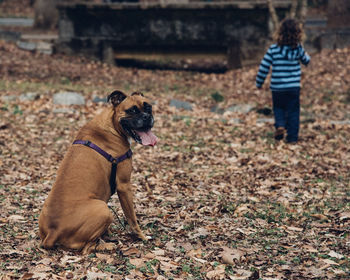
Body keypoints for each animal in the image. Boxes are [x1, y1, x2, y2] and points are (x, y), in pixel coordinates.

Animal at [38, 91, 157, 253]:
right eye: (131, 110)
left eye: (148, 107)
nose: (146, 116)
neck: (111, 126)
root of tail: (52, 232)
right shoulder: (124, 186)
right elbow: (132, 217)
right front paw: (141, 236)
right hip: (103, 208)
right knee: (85, 248)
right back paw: (106, 245)